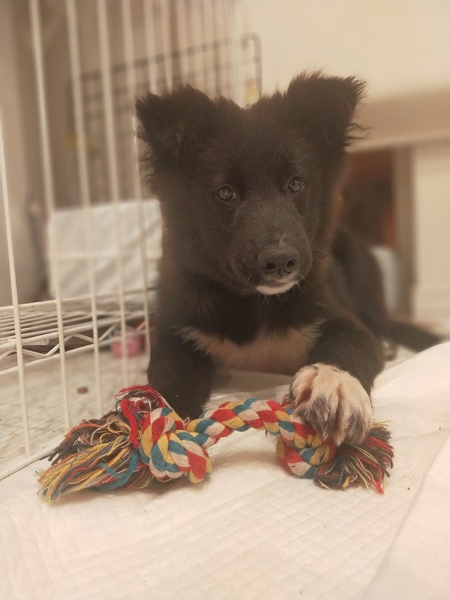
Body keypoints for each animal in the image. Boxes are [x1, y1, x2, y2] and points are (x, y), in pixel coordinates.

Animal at [135, 72, 391, 446]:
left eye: (296, 184)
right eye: (225, 193)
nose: (280, 261)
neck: (252, 305)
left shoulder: (338, 315)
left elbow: (352, 342)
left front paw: (335, 385)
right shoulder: (177, 330)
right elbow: (168, 373)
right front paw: (161, 416)